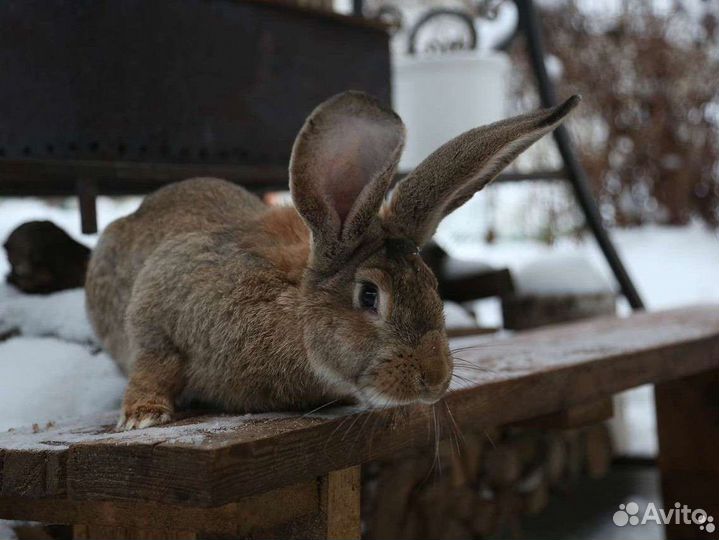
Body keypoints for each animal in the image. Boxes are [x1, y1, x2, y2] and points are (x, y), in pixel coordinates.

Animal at [85, 90, 579, 430]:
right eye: (369, 296)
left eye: (432, 286)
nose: (435, 379)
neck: (293, 309)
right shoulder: (158, 308)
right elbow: (153, 361)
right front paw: (143, 417)